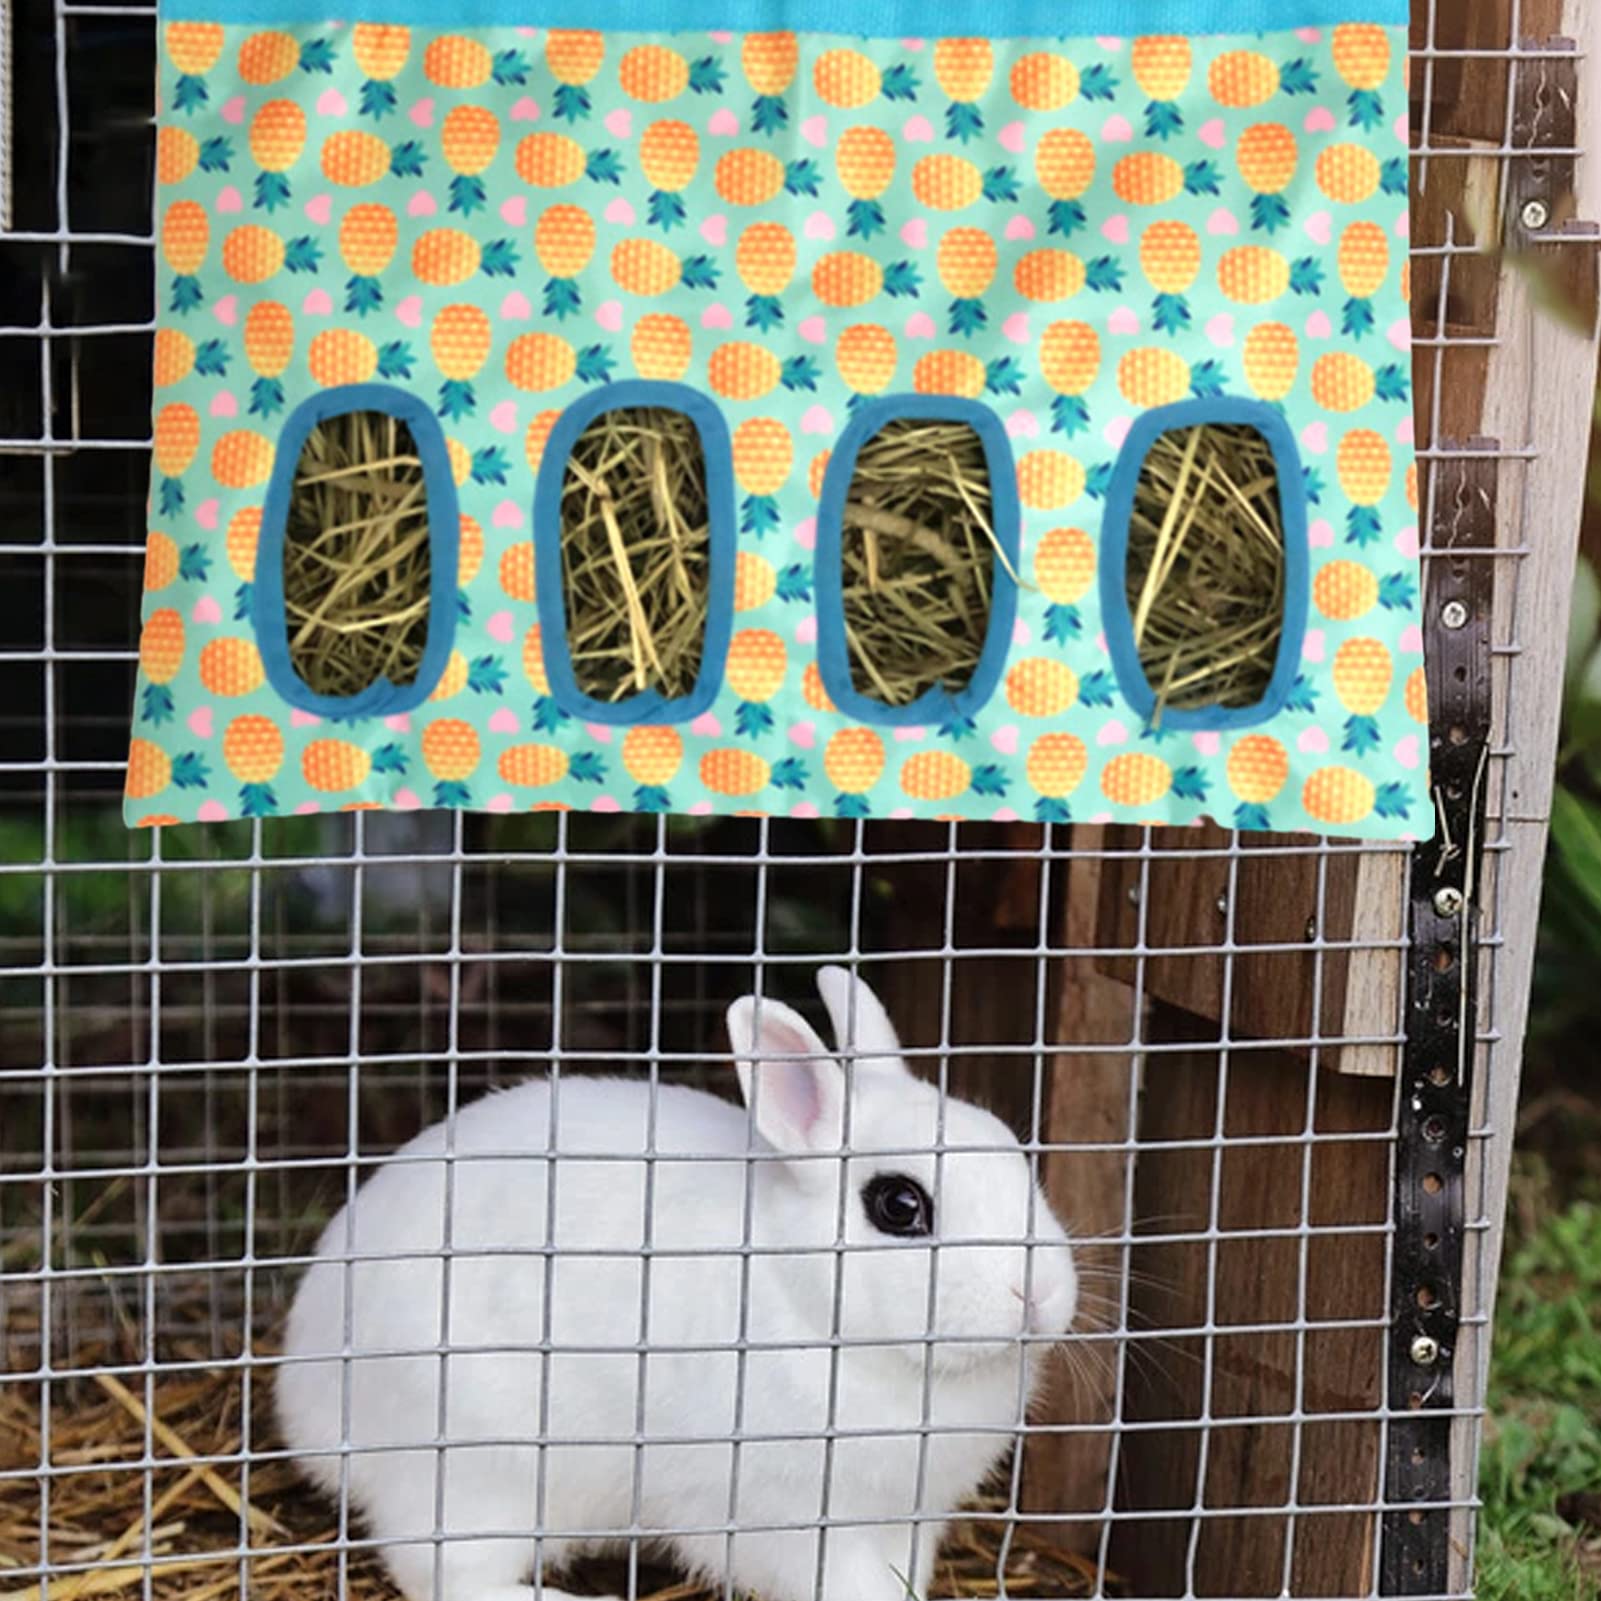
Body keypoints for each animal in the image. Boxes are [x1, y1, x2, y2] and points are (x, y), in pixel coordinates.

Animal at [276, 966, 1077, 1601]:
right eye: (899, 1205)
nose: (1036, 1292)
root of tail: (303, 1391)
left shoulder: (906, 1517)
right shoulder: (782, 1517)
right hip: (481, 1469)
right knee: (437, 1568)